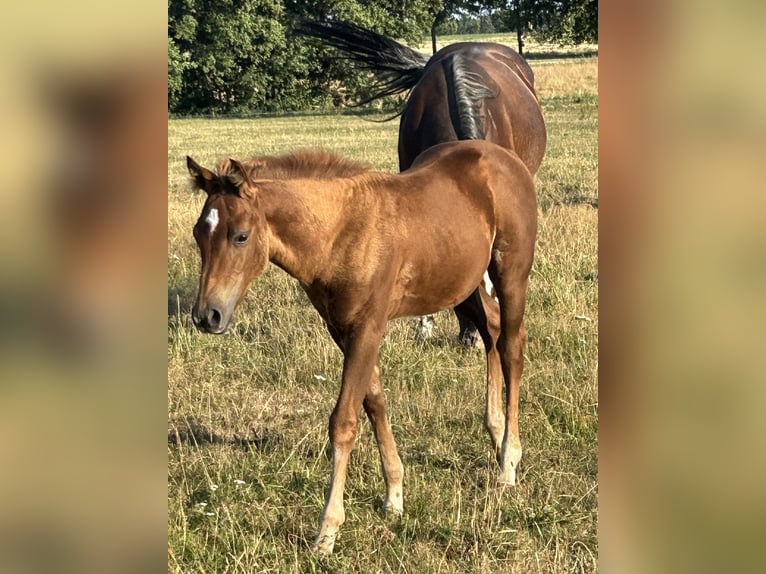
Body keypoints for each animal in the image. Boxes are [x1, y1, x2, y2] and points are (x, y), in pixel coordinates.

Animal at [186, 140, 537, 555]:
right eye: (198, 234)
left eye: (240, 236)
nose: (207, 316)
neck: (341, 232)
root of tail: (504, 158)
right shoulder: (341, 329)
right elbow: (374, 401)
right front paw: (395, 495)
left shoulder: (368, 328)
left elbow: (344, 421)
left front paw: (327, 531)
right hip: (461, 283)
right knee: (491, 330)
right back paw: (496, 433)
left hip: (511, 272)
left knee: (511, 345)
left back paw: (508, 462)